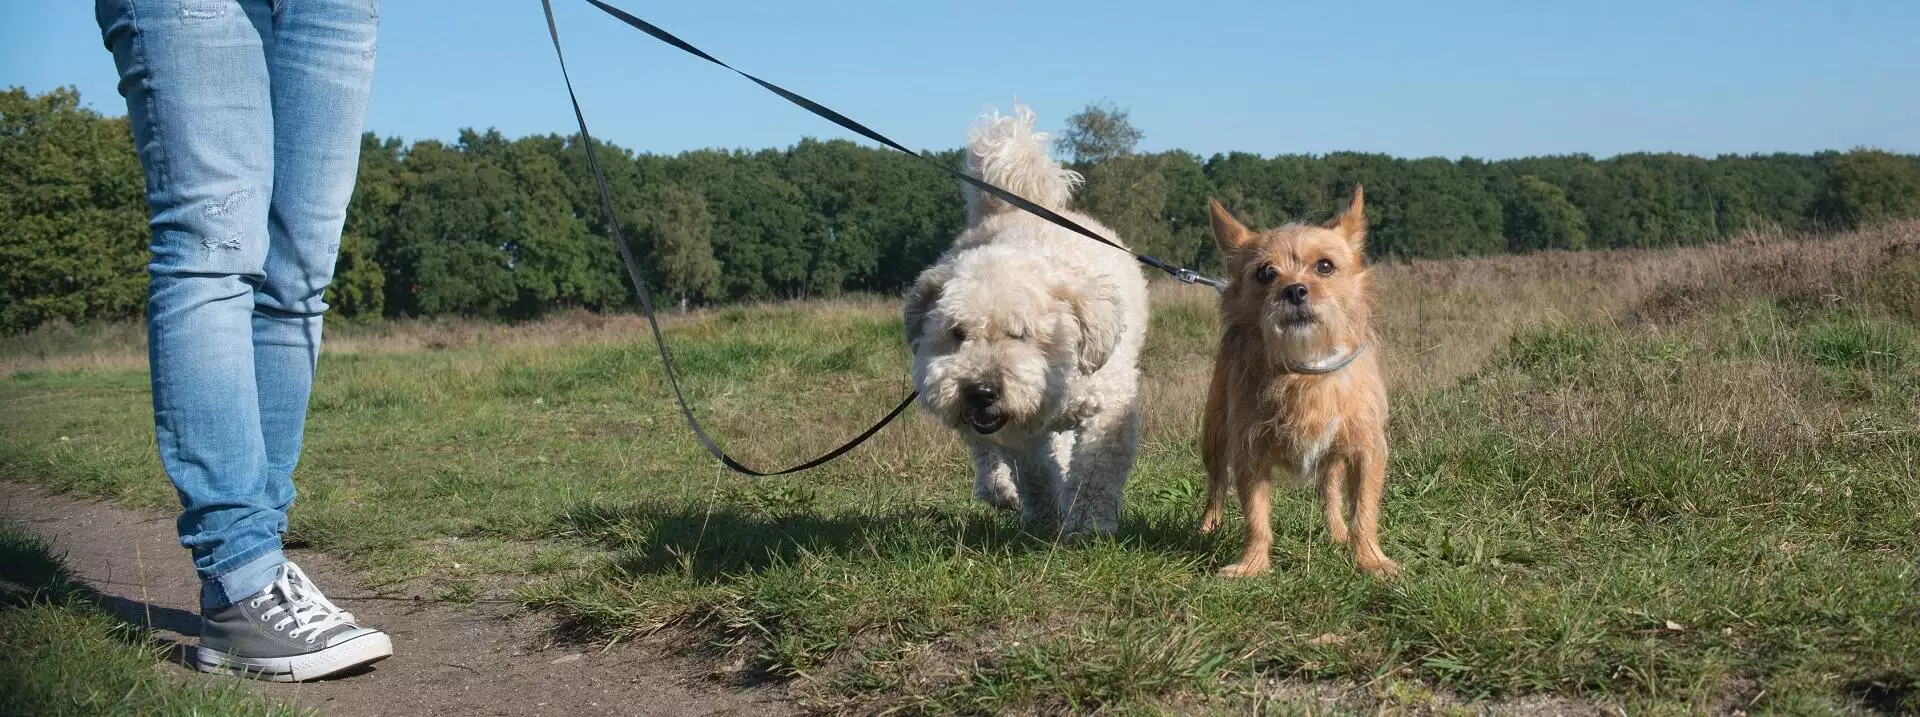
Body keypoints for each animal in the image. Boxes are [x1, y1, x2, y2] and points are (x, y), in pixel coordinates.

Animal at [902, 103, 1144, 534]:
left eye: (1020, 333)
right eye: (958, 332)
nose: (980, 391)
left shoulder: (1110, 405)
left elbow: (1096, 470)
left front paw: (1087, 524)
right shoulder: (1016, 431)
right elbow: (1034, 472)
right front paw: (1046, 516)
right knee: (985, 450)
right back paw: (998, 489)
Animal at [1198, 185, 1397, 576]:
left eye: (1325, 266)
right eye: (1265, 273)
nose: (1295, 290)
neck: (1305, 368)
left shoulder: (1366, 450)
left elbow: (1365, 512)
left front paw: (1370, 559)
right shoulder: (1249, 455)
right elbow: (1256, 517)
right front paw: (1251, 565)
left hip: (1333, 457)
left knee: (1329, 492)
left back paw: (1337, 532)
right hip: (1213, 438)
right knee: (1216, 485)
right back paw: (1207, 526)